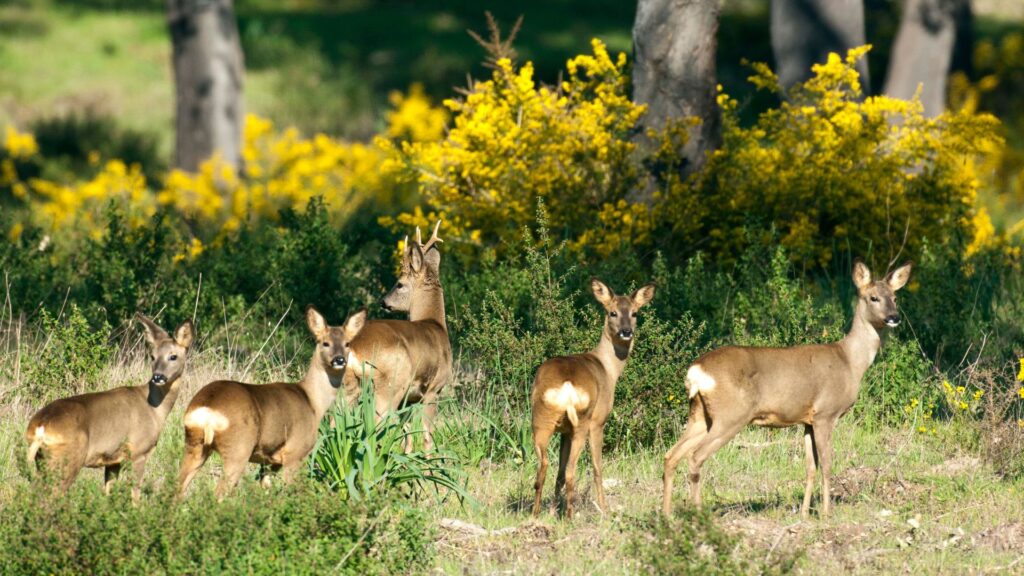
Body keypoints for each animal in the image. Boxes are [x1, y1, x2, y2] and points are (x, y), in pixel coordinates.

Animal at [25, 313, 194, 499]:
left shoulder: (113, 460)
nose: (158, 377)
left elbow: (108, 492)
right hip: (68, 458)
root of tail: (40, 427)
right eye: (152, 356)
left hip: (43, 460)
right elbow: (135, 494)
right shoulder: (139, 452)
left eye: (173, 356)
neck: (155, 410)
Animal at [177, 306, 365, 498]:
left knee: (177, 486)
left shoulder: (269, 462)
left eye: (347, 343)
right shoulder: (295, 452)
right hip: (238, 449)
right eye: (324, 343)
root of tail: (206, 409)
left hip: (194, 445)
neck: (313, 402)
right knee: (219, 493)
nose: (339, 360)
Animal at [343, 220, 452, 451]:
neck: (436, 324)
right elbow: (427, 436)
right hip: (389, 385)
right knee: (372, 428)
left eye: (399, 284)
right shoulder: (434, 389)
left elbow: (407, 435)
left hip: (350, 385)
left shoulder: (410, 399)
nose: (383, 301)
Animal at [531, 278, 656, 519]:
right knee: (572, 470)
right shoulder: (599, 421)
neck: (608, 369)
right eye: (612, 312)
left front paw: (552, 511)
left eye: (635, 313)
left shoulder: (565, 432)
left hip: (541, 419)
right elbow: (598, 468)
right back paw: (570, 516)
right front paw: (605, 509)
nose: (626, 332)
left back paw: (536, 513)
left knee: (545, 467)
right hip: (584, 420)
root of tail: (566, 386)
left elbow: (559, 471)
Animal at [662, 259, 912, 519]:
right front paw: (826, 513)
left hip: (700, 415)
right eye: (873, 297)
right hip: (730, 416)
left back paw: (666, 515)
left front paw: (804, 513)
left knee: (671, 456)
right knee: (695, 457)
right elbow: (827, 464)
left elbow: (810, 467)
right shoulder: (826, 413)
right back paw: (699, 514)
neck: (850, 362)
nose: (894, 317)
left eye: (895, 297)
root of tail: (696, 371)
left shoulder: (807, 420)